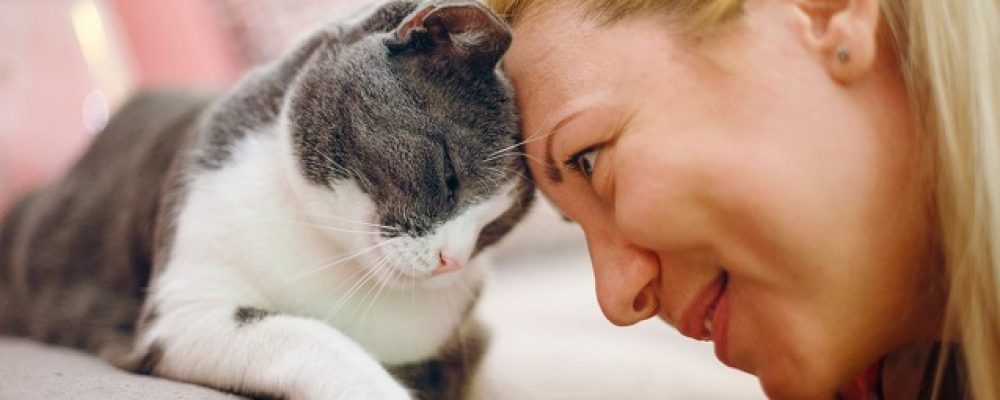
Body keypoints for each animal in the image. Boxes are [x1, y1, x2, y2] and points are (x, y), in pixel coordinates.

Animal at [0, 1, 534, 399]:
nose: (452, 260)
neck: (330, 253)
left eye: (495, 228)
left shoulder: (465, 339)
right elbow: (311, 338)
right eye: (449, 175)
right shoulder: (185, 312)